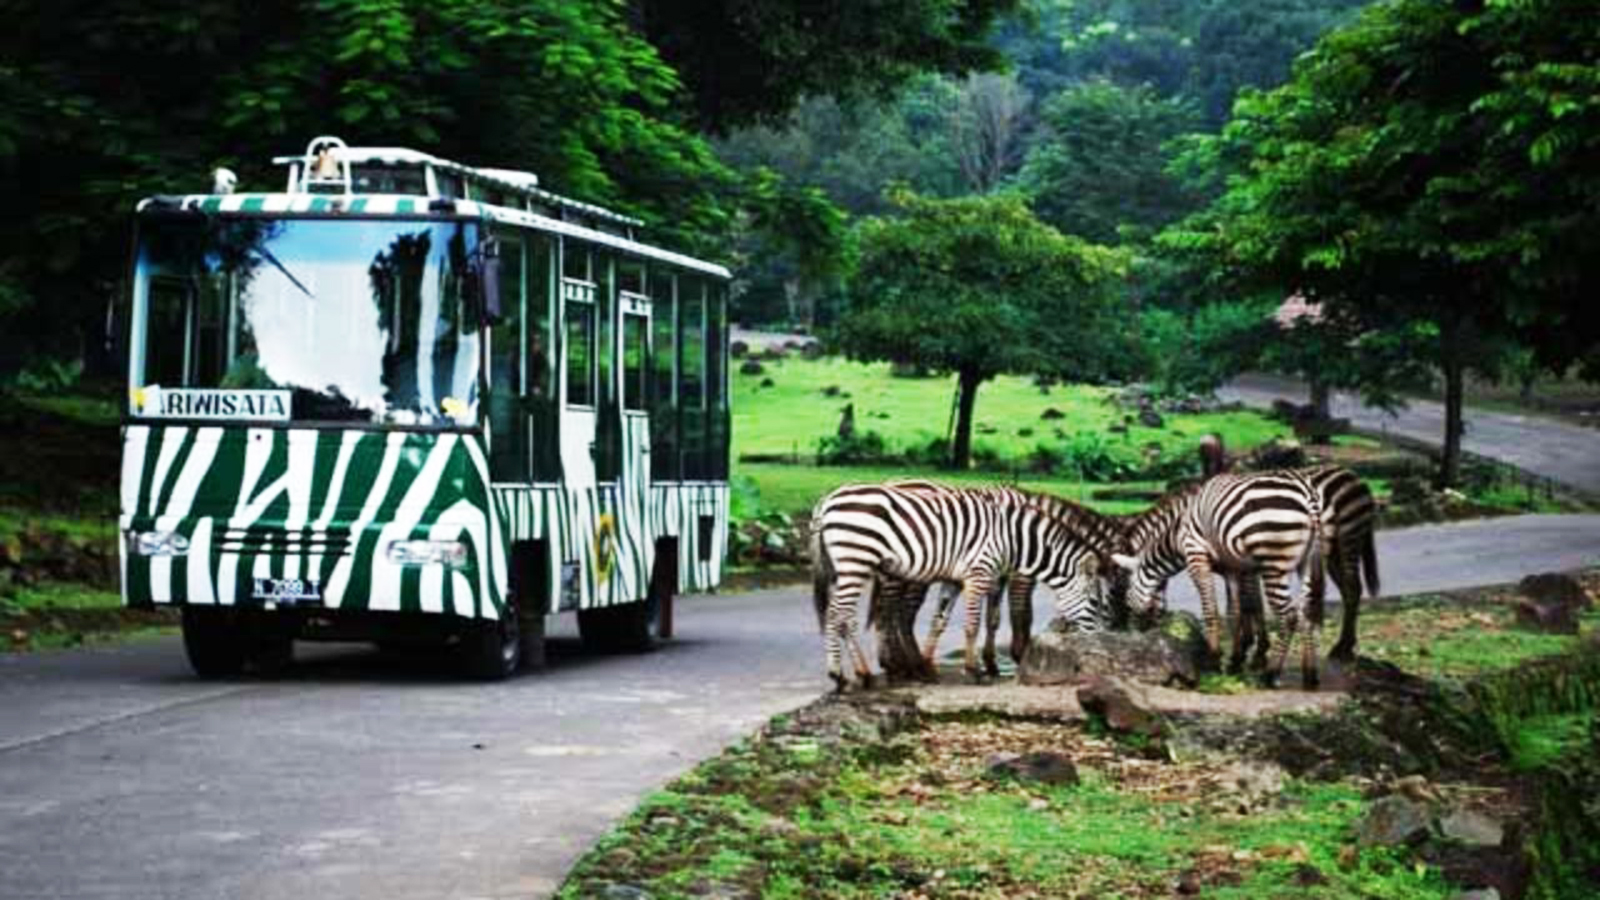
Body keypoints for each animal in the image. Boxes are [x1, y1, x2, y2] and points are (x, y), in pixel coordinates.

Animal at [812, 483, 1113, 685]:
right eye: (1095, 601)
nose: (1099, 644)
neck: (1017, 539)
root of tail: (826, 501)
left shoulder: (956, 579)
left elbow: (941, 620)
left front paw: (927, 666)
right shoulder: (981, 573)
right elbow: (976, 623)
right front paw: (976, 669)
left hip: (849, 567)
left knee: (841, 613)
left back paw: (849, 673)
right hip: (856, 562)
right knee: (843, 615)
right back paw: (853, 673)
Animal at [1107, 470, 1331, 685]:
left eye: (1124, 593)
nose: (1135, 632)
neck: (1178, 530)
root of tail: (1309, 497)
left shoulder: (1197, 557)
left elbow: (1213, 610)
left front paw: (1214, 660)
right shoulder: (1233, 567)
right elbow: (1236, 611)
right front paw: (1236, 660)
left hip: (1273, 563)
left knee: (1289, 616)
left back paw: (1270, 675)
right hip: (1306, 562)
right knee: (1307, 611)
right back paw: (1310, 674)